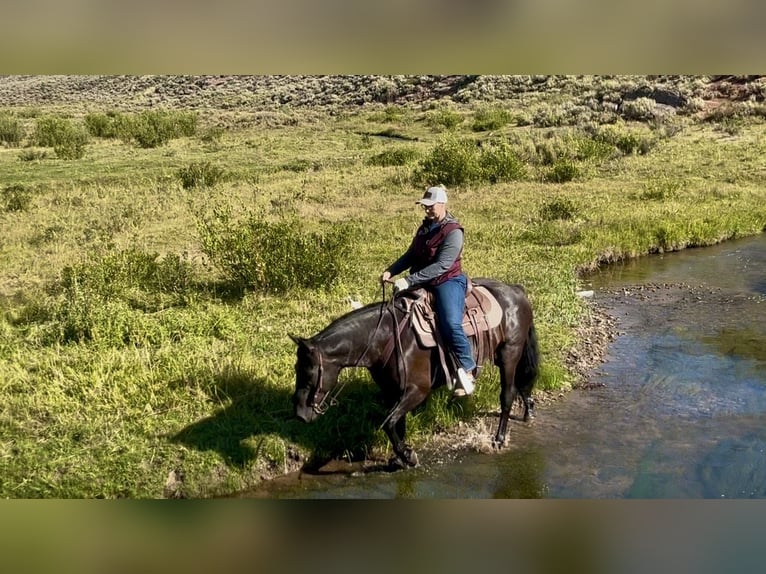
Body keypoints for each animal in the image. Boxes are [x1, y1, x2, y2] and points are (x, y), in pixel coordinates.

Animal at [290, 277, 540, 468]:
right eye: (296, 369)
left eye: (309, 372)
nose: (300, 415)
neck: (385, 338)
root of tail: (516, 291)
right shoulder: (392, 391)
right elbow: (395, 424)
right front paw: (400, 458)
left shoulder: (418, 390)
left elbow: (388, 423)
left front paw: (408, 456)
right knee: (522, 384)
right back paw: (528, 409)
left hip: (510, 354)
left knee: (507, 395)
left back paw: (498, 439)